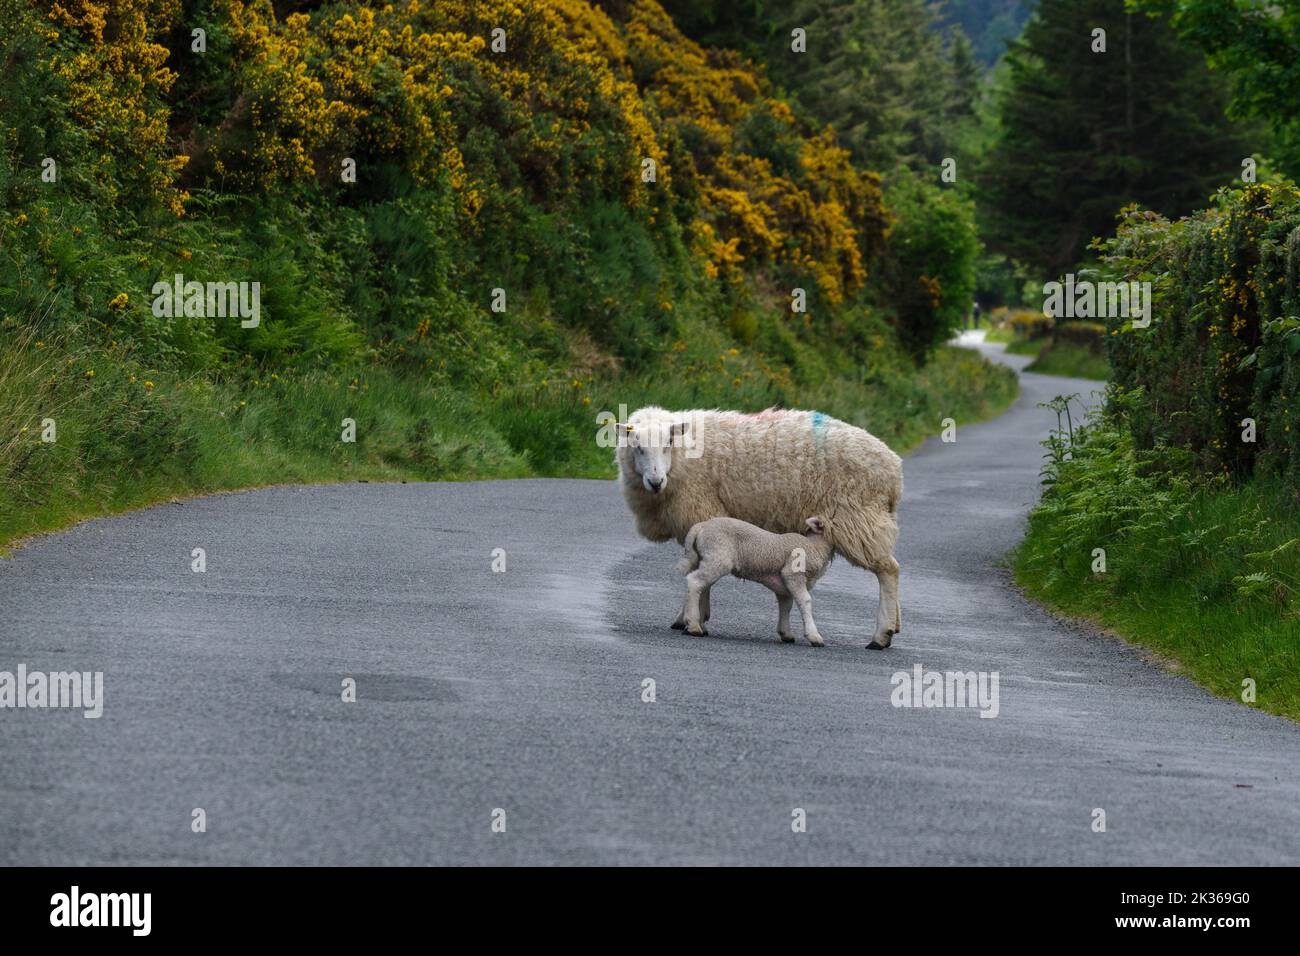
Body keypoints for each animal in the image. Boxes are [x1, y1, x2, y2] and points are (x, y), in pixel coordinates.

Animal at [670, 520, 832, 647]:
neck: (814, 546)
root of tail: (700, 526)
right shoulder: (793, 575)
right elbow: (805, 601)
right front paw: (814, 636)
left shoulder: (783, 586)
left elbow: (786, 605)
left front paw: (786, 633)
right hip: (717, 557)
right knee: (695, 582)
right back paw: (693, 625)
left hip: (704, 558)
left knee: (702, 587)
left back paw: (693, 622)